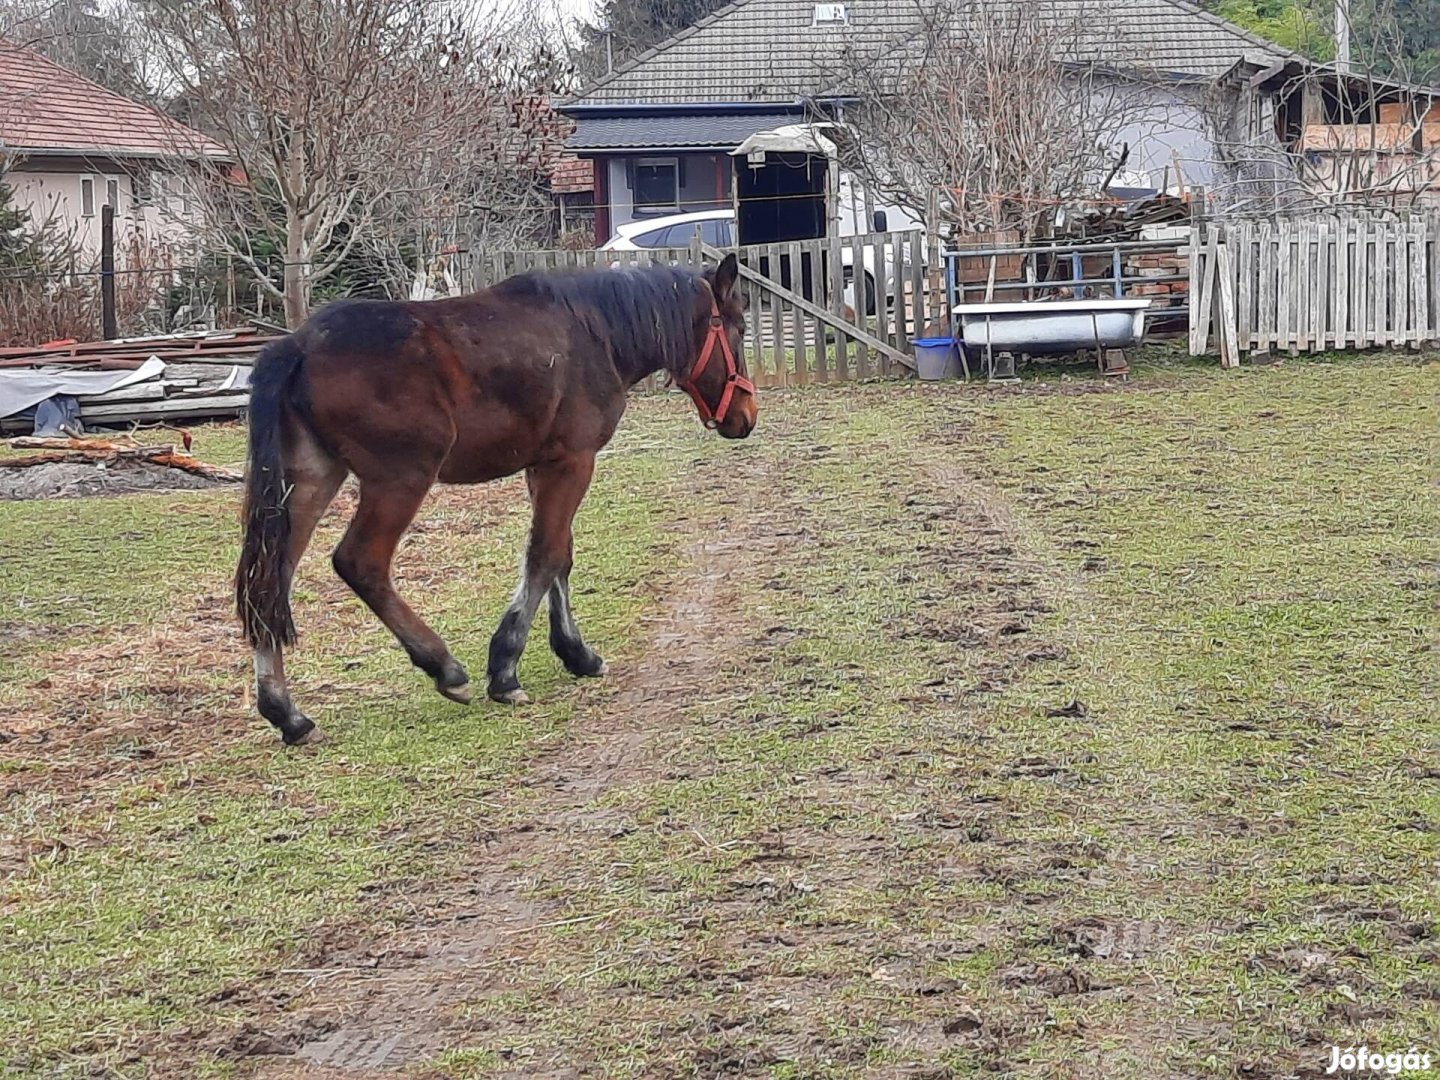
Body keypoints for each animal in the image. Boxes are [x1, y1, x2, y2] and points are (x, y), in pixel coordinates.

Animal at [234, 253, 754, 743]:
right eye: (741, 329)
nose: (746, 415)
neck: (593, 330)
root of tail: (298, 345)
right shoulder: (573, 462)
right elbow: (545, 556)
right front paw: (505, 670)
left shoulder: (544, 466)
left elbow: (559, 557)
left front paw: (576, 654)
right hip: (399, 481)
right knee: (359, 562)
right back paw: (443, 667)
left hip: (311, 480)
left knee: (269, 581)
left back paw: (286, 713)